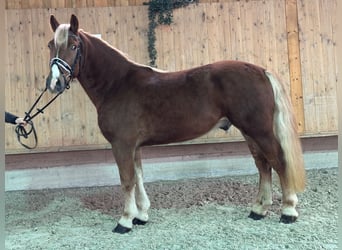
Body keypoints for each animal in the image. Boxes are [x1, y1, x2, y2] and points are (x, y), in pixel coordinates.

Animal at [44, 14, 304, 233]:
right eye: (50, 45)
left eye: (74, 45)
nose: (54, 83)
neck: (117, 83)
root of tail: (261, 70)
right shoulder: (134, 146)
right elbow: (138, 177)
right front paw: (141, 216)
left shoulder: (122, 144)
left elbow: (127, 180)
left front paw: (125, 221)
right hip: (250, 133)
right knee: (263, 165)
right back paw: (259, 209)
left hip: (260, 131)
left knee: (278, 162)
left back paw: (288, 210)